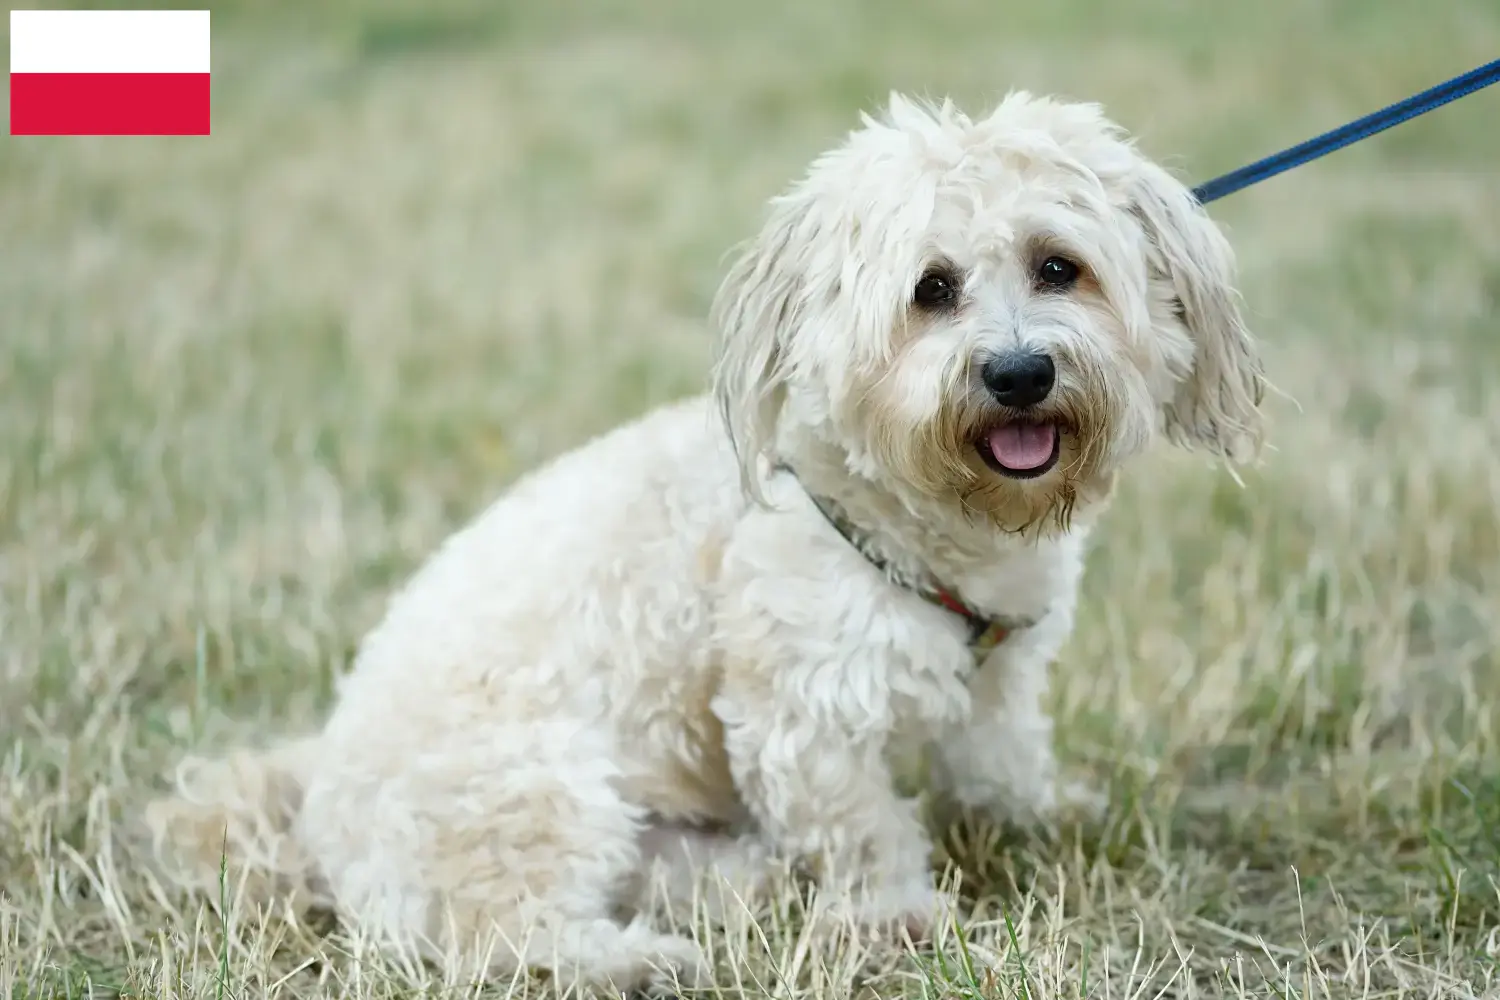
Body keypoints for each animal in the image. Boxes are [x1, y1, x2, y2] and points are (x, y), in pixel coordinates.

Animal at [143, 91, 1266, 995]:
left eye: (1059, 268)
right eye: (933, 289)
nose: (1020, 372)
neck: (910, 512)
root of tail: (317, 803)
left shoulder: (1000, 675)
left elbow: (1000, 761)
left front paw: (1049, 813)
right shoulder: (804, 711)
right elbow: (861, 828)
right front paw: (897, 916)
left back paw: (741, 888)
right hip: (535, 789)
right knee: (497, 935)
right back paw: (634, 962)